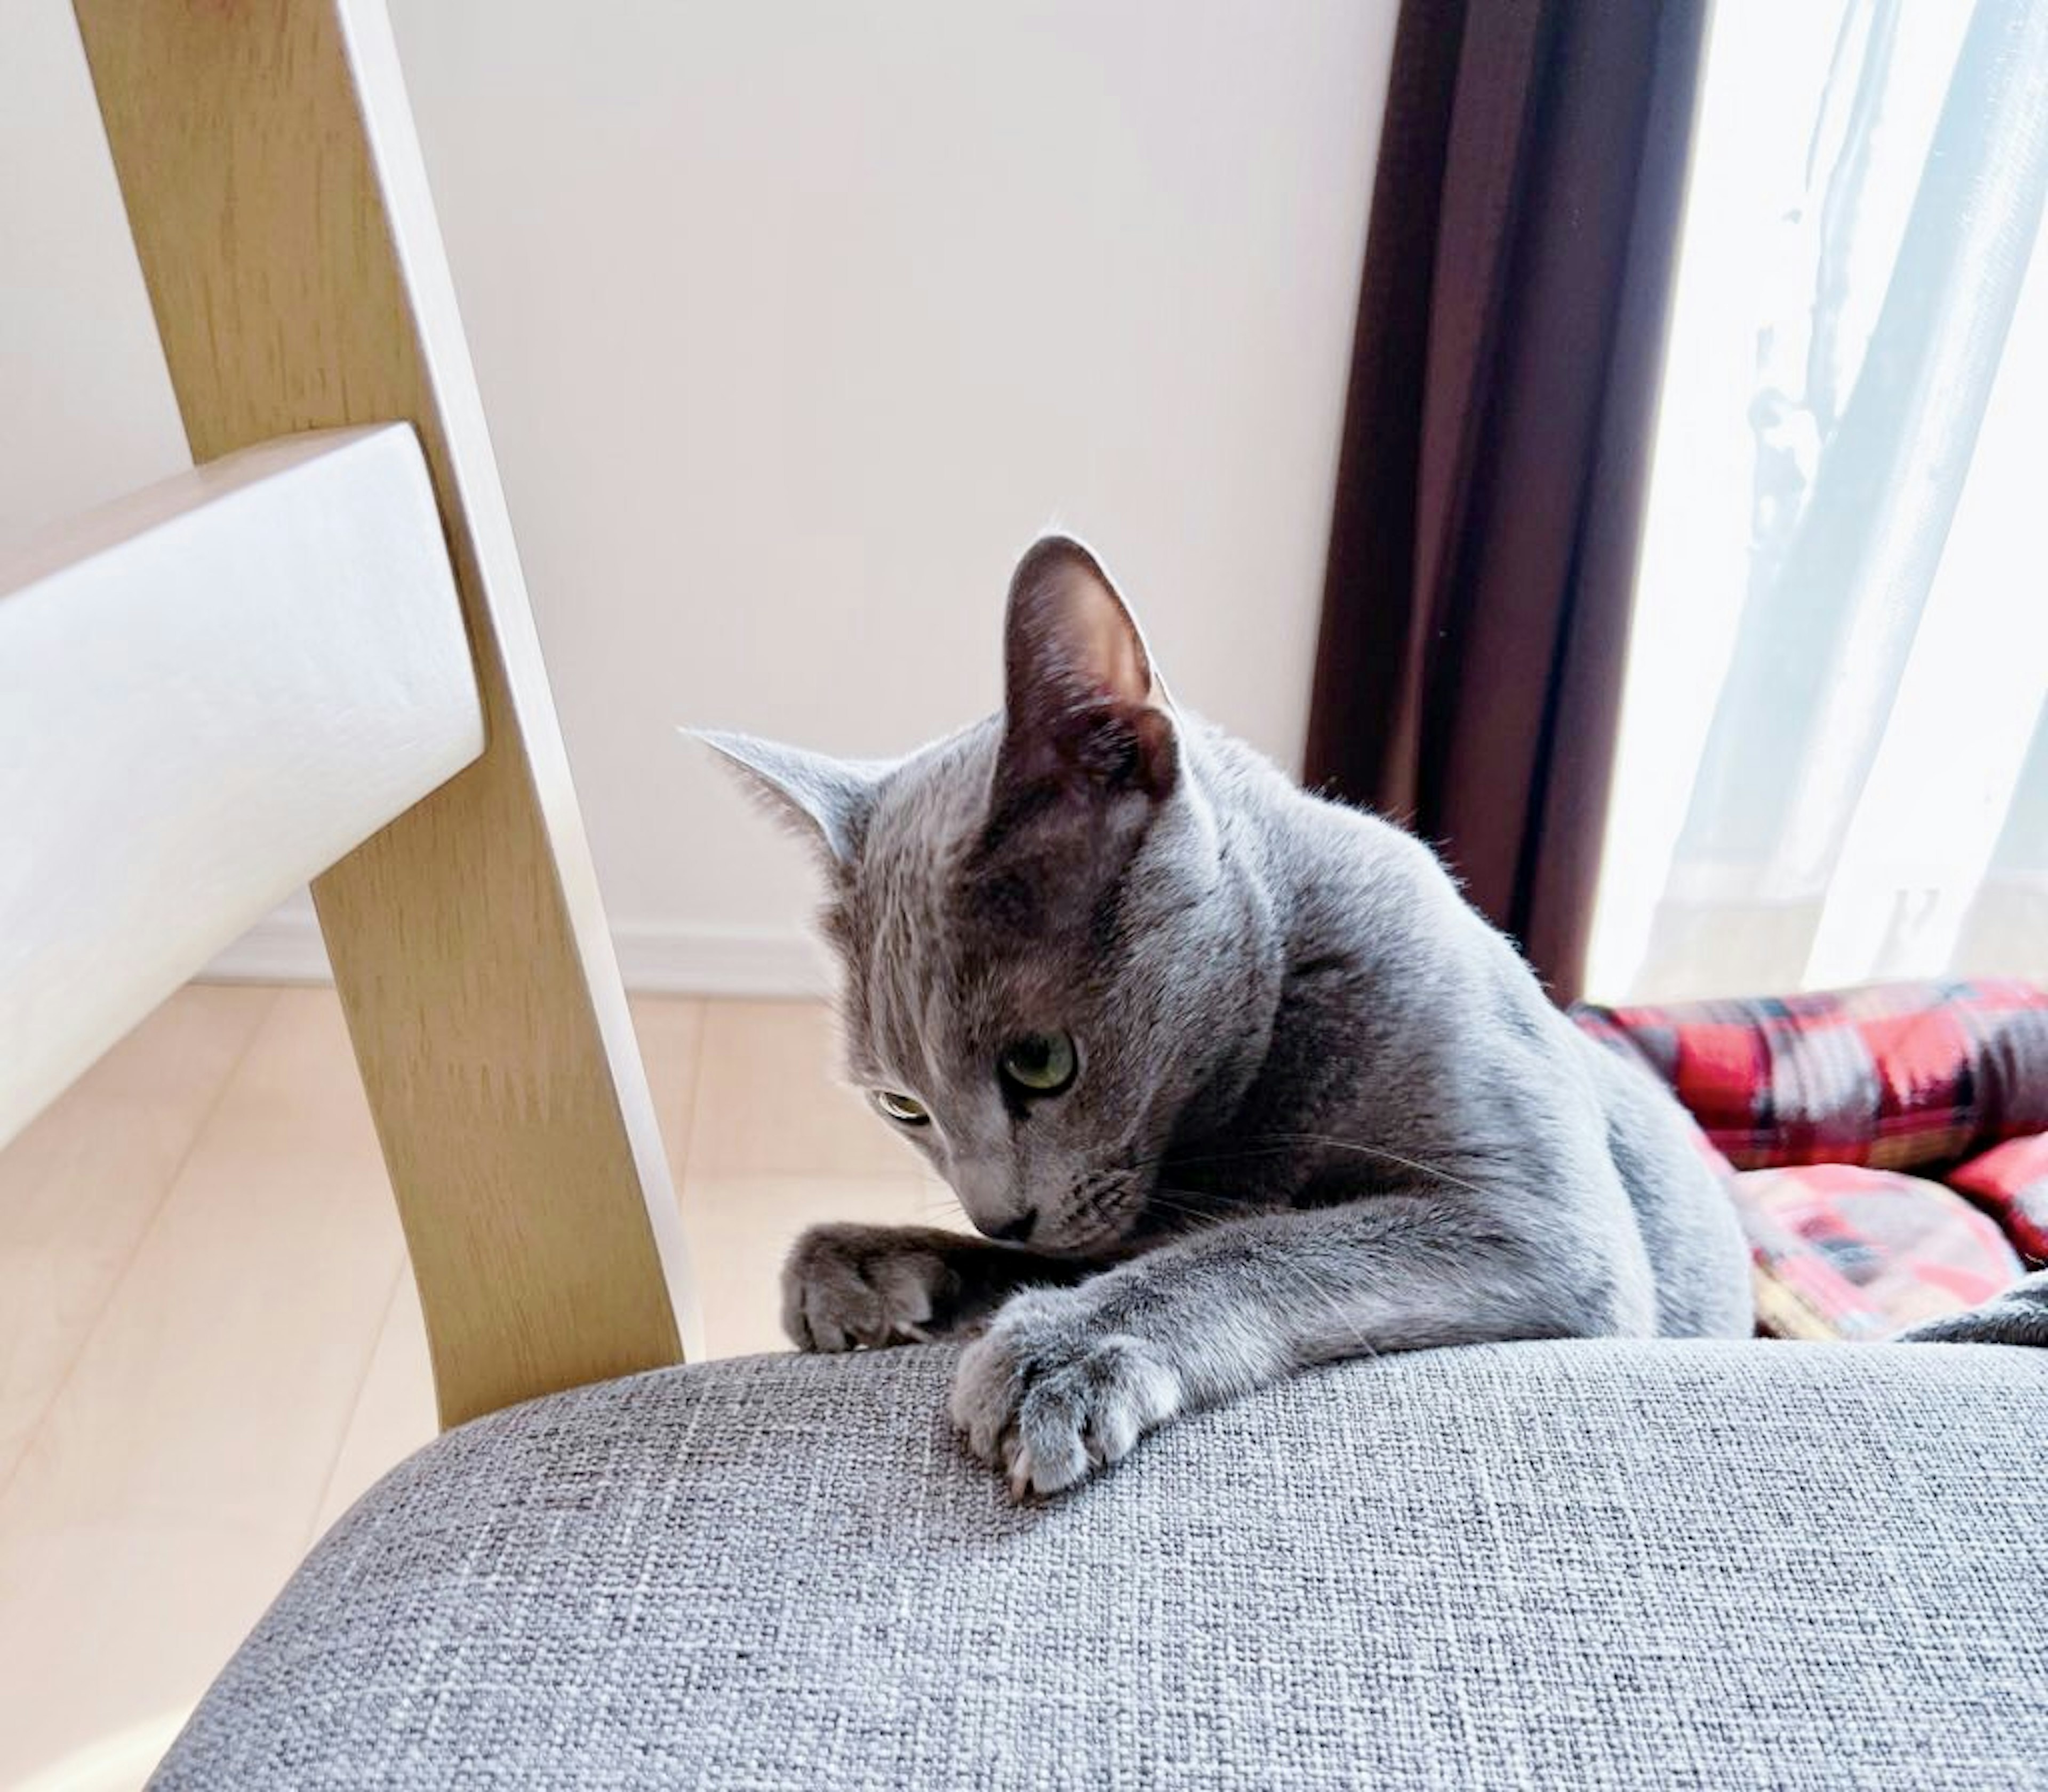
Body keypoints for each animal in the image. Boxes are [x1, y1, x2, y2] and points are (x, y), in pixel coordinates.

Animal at [696, 537, 1753, 1499]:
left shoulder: (1542, 1220)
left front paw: (1063, 1351)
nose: (1001, 1216)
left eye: (1041, 1062)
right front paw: (859, 1265)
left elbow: (1261, 1246)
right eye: (903, 1107)